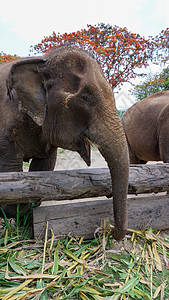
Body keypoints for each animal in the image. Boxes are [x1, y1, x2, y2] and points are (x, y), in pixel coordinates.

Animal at [0, 45, 129, 240]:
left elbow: (42, 168)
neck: (43, 60)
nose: (110, 229)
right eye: (86, 97)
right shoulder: (6, 131)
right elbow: (11, 175)